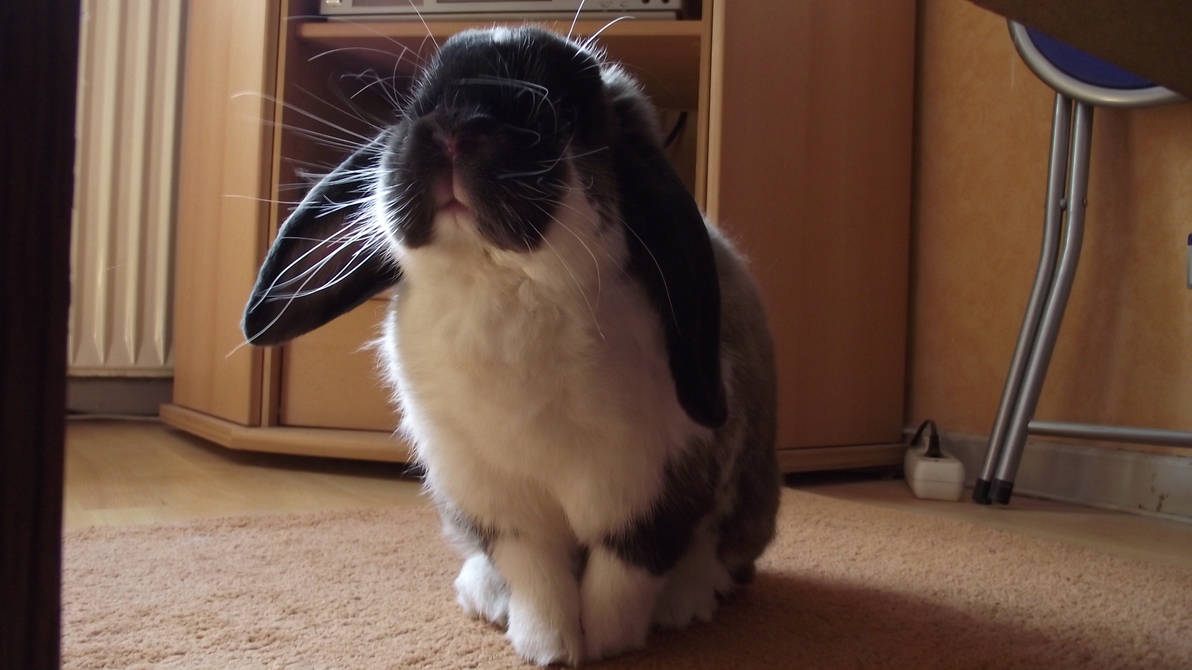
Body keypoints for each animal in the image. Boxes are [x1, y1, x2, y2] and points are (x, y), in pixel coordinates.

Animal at [241, 25, 779, 666]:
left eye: (569, 110)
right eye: (417, 102)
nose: (453, 126)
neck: (501, 280)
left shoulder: (649, 491)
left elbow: (620, 576)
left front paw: (606, 645)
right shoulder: (499, 504)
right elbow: (537, 575)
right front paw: (547, 646)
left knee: (717, 552)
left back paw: (685, 602)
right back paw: (485, 596)